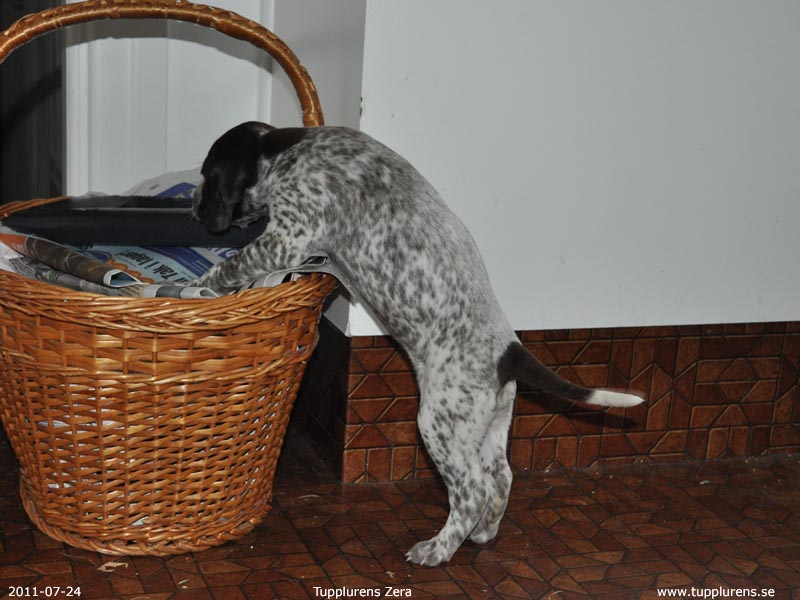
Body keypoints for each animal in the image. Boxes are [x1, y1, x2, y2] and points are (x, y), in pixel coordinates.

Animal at [192, 122, 644, 566]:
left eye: (206, 174)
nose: (194, 206)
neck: (282, 150)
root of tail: (510, 352)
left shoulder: (287, 238)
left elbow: (232, 265)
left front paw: (198, 286)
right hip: (489, 425)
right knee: (501, 477)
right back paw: (483, 533)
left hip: (440, 422)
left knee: (471, 492)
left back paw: (438, 549)